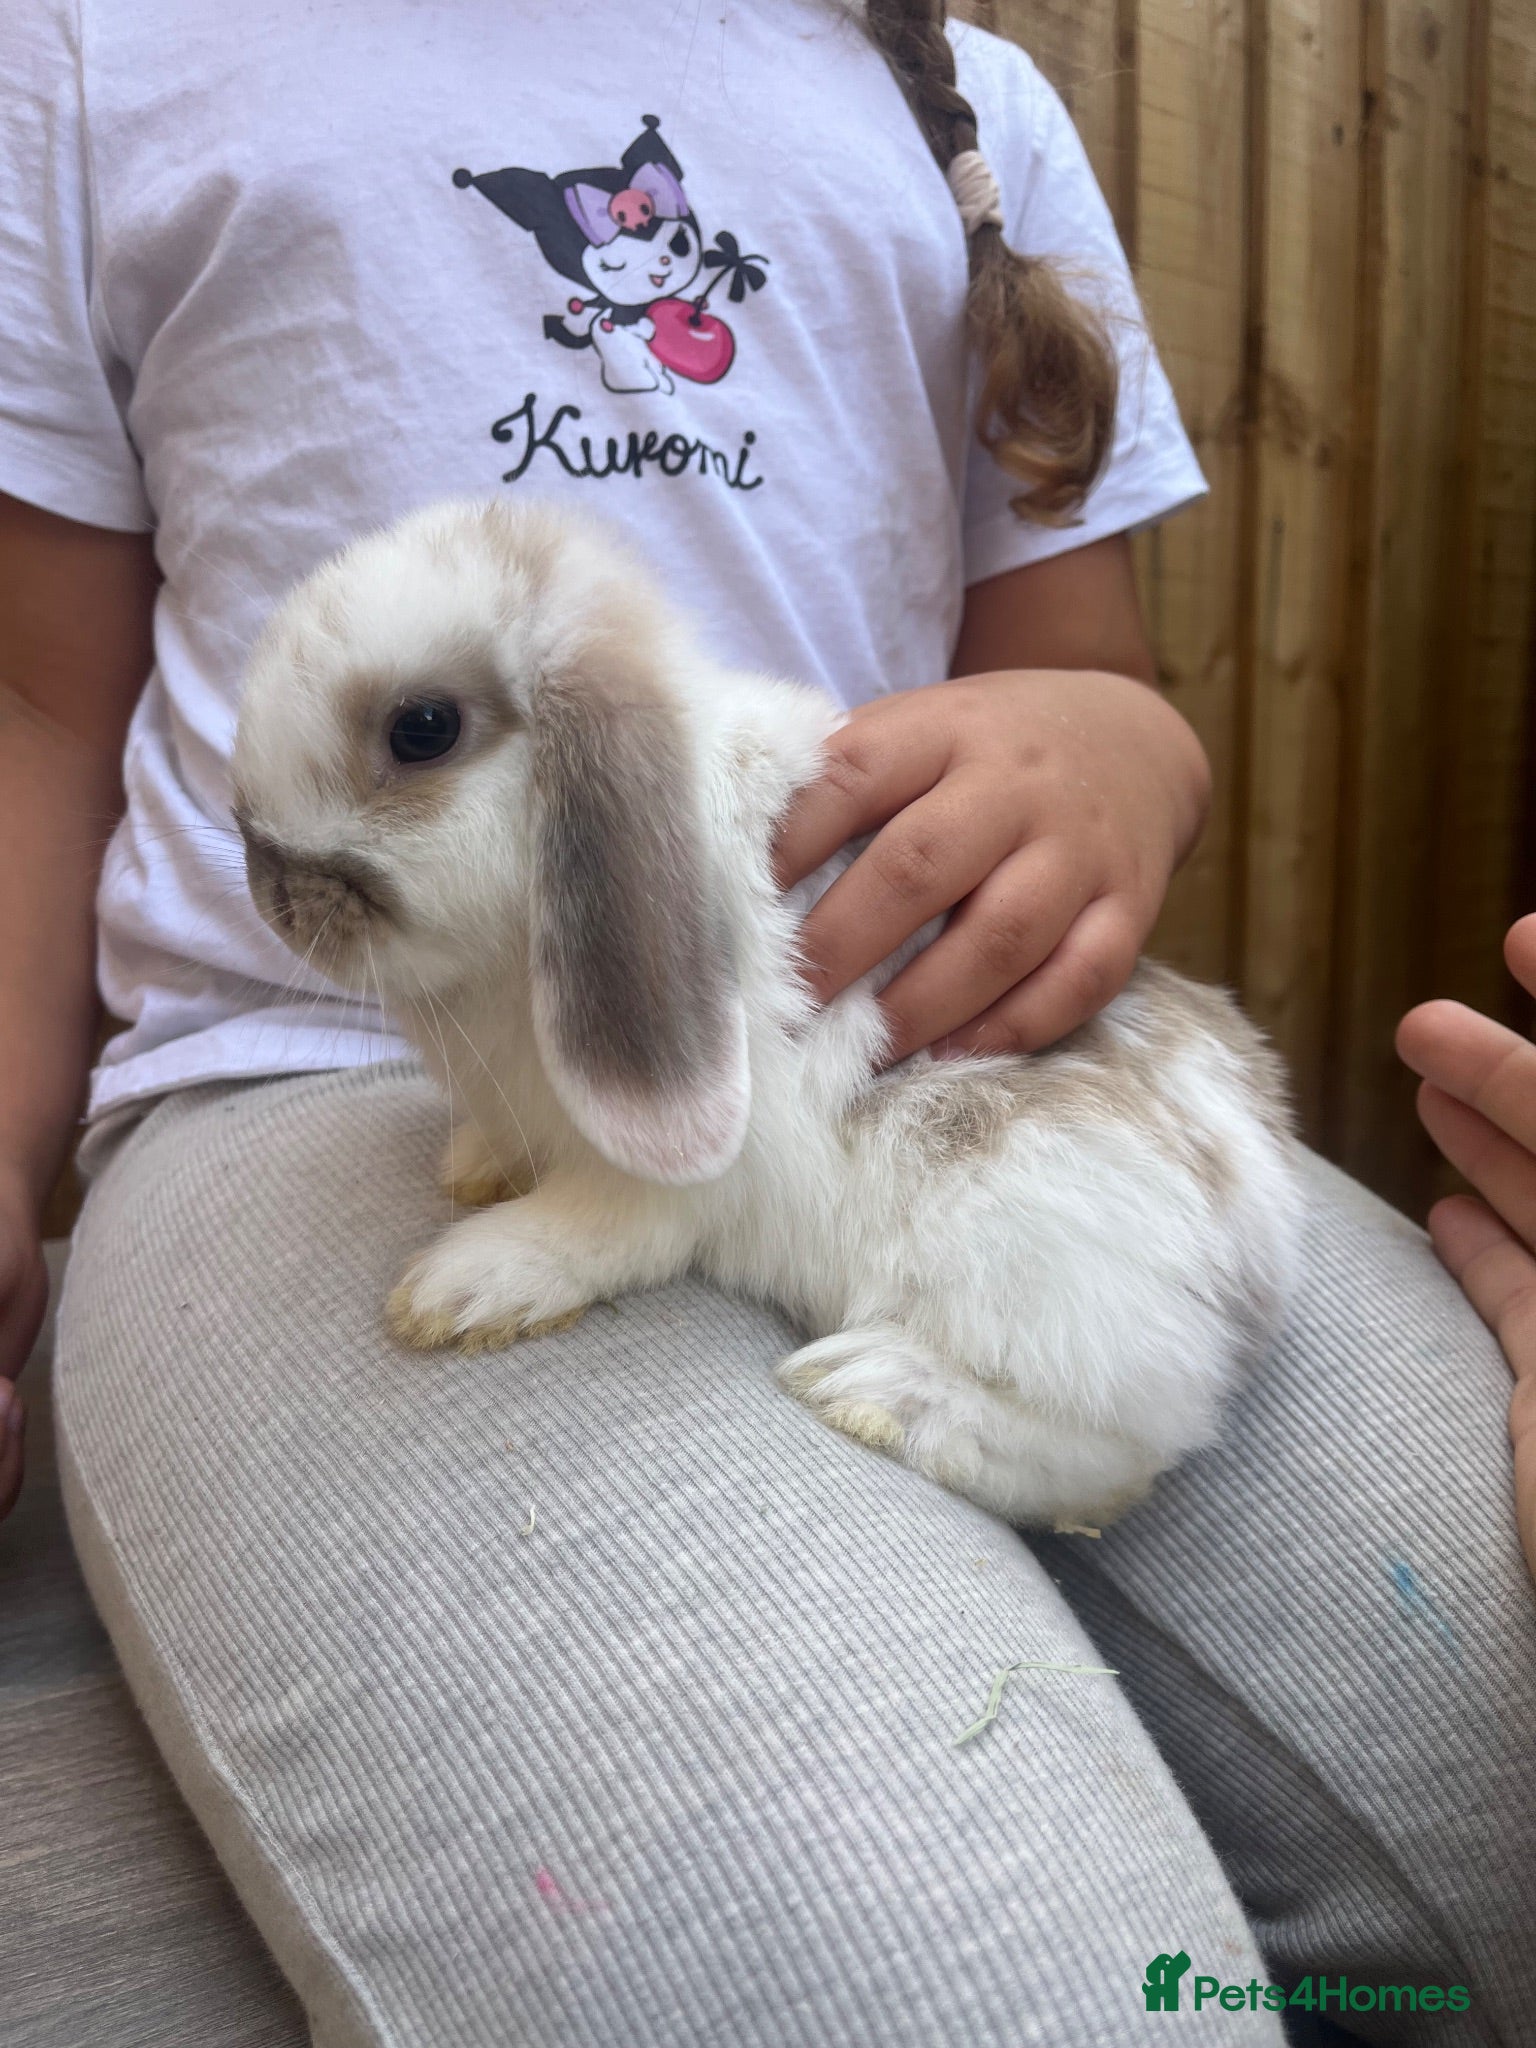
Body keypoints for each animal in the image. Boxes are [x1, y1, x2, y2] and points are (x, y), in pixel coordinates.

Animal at [231, 498, 1305, 1527]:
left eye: (422, 728)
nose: (269, 890)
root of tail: (1258, 1257)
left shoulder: (659, 1173)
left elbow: (602, 1230)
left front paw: (466, 1284)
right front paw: (474, 1168)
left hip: (1023, 1245)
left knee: (1115, 1450)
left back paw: (875, 1389)